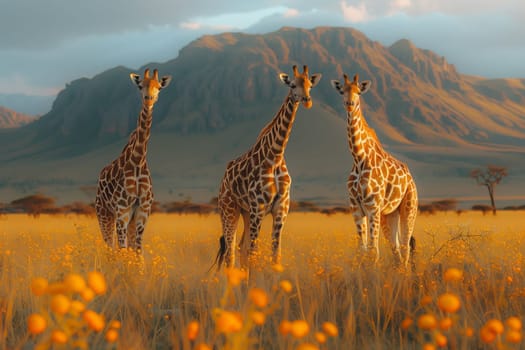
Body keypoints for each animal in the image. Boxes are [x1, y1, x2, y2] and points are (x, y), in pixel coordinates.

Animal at [94, 67, 172, 252]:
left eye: (159, 87)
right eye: (140, 86)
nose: (148, 100)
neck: (137, 161)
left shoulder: (142, 211)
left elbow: (137, 251)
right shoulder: (122, 211)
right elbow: (122, 250)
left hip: (127, 218)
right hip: (104, 213)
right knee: (110, 247)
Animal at [212, 64, 320, 270]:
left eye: (310, 85)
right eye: (292, 85)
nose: (307, 101)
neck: (275, 156)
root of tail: (223, 180)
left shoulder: (281, 209)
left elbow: (275, 254)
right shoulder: (259, 207)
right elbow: (254, 252)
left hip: (246, 212)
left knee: (241, 246)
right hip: (229, 209)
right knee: (230, 249)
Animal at [328, 73, 418, 266]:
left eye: (358, 91)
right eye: (342, 91)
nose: (350, 104)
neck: (358, 158)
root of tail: (410, 178)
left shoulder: (372, 207)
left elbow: (373, 251)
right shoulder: (356, 208)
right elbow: (362, 251)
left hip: (409, 207)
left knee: (405, 247)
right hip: (389, 214)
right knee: (396, 249)